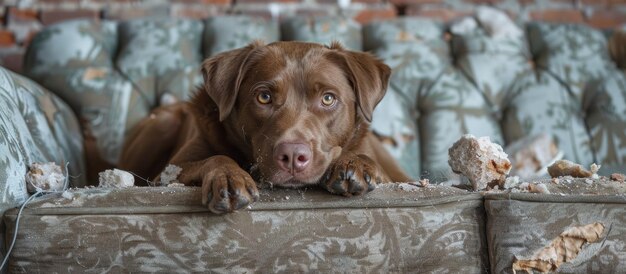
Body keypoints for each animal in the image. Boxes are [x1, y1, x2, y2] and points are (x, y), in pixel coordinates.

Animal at [118, 40, 410, 213]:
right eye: (264, 97)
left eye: (328, 98)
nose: (292, 155)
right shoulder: (168, 174)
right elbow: (215, 157)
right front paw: (229, 177)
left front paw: (352, 163)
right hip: (162, 125)